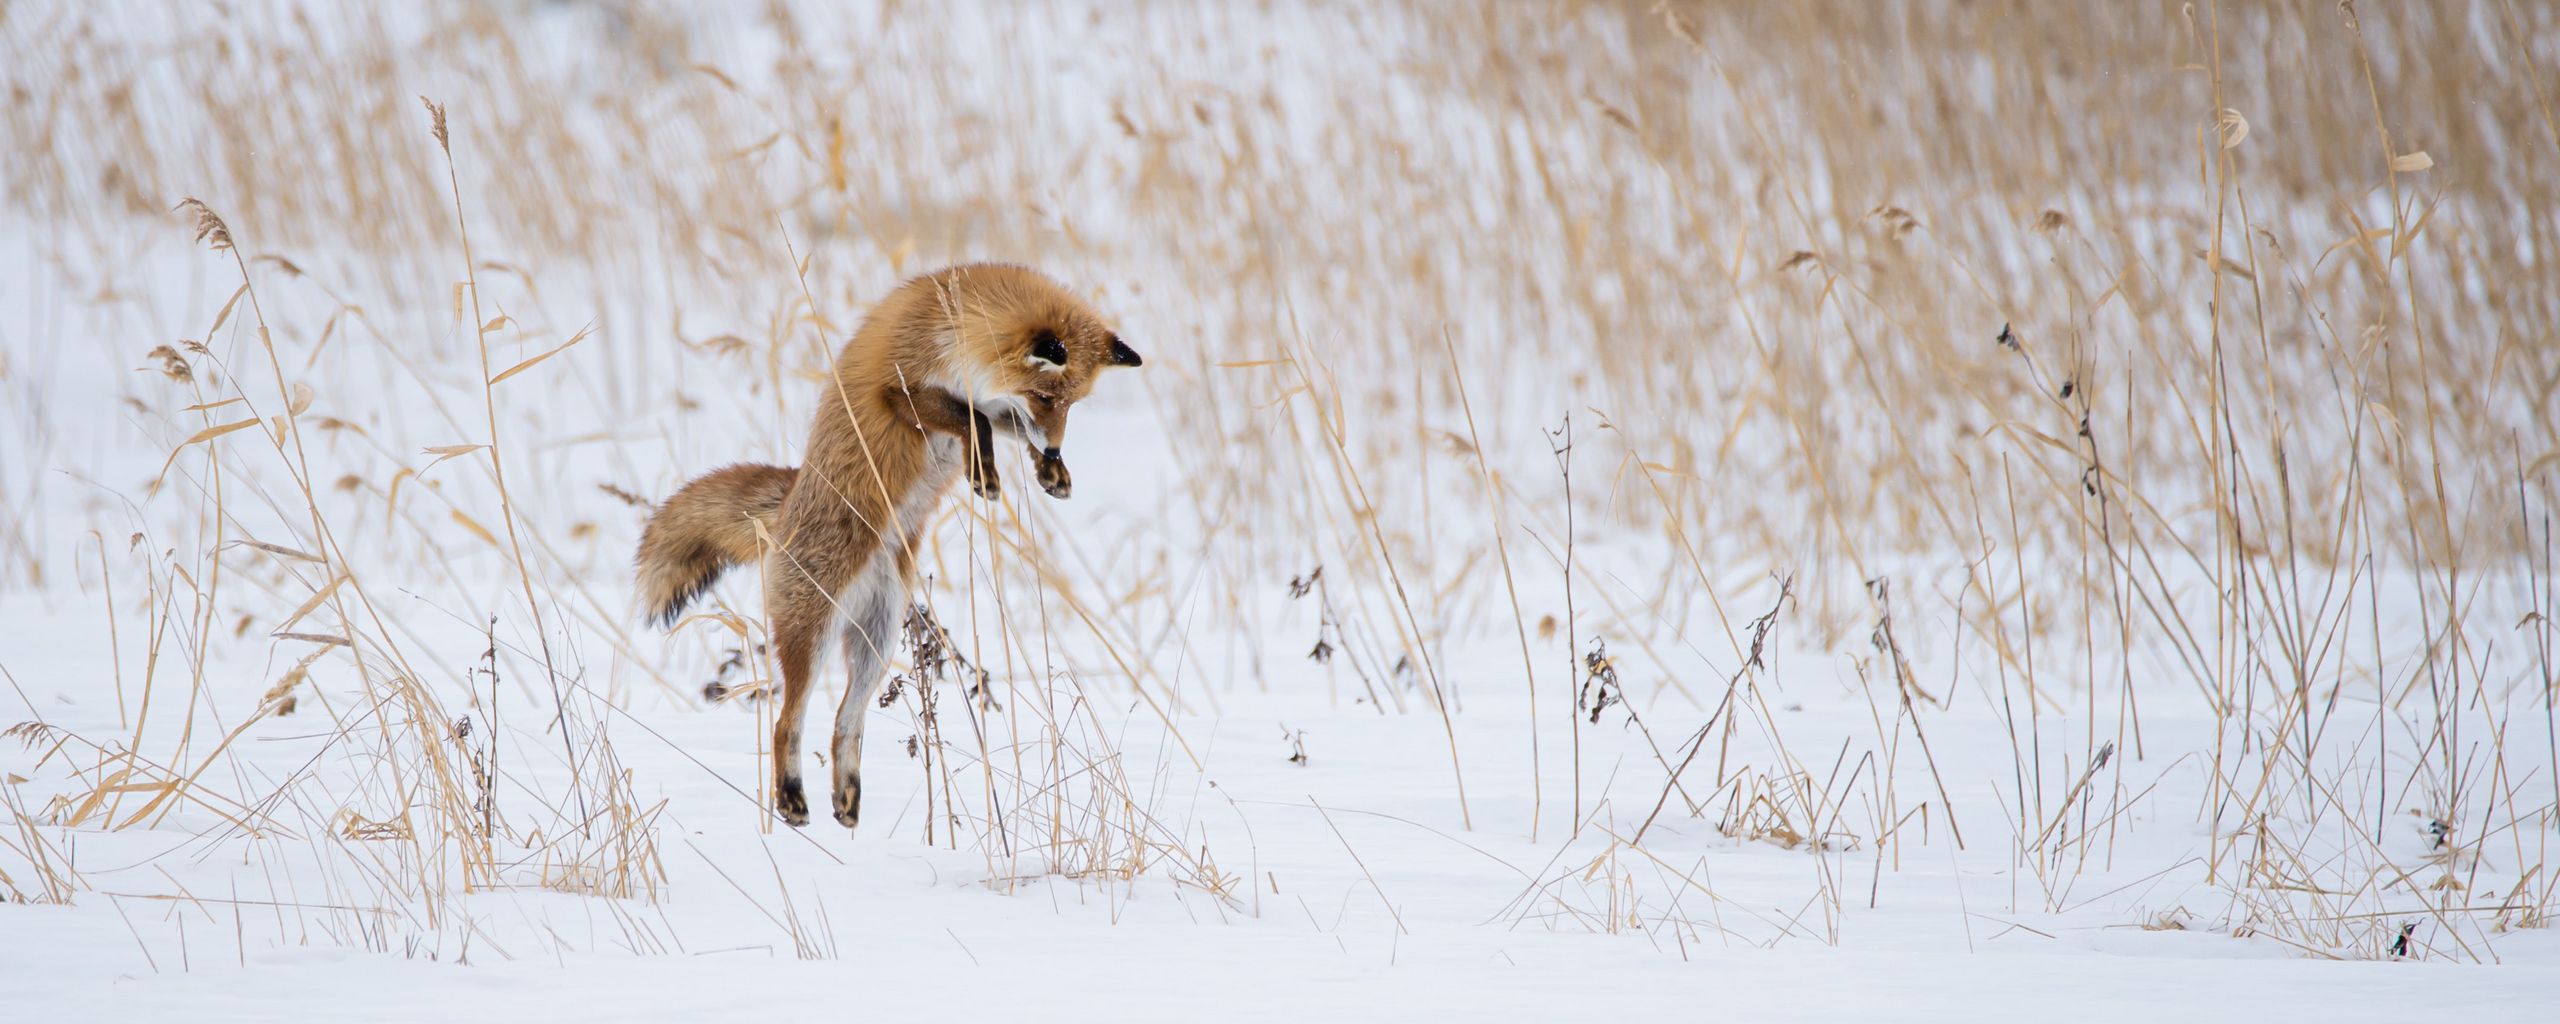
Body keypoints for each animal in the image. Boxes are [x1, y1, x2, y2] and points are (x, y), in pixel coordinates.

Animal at [629, 259, 1141, 829]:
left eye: (1072, 404)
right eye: (1046, 397)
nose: (1055, 448)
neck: (952, 327)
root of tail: (782, 512)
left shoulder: (992, 401)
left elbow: (1000, 424)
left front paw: (1050, 470)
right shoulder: (899, 389)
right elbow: (974, 420)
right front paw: (985, 473)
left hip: (879, 640)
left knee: (844, 723)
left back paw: (847, 801)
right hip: (814, 634)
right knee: (787, 721)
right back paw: (791, 799)